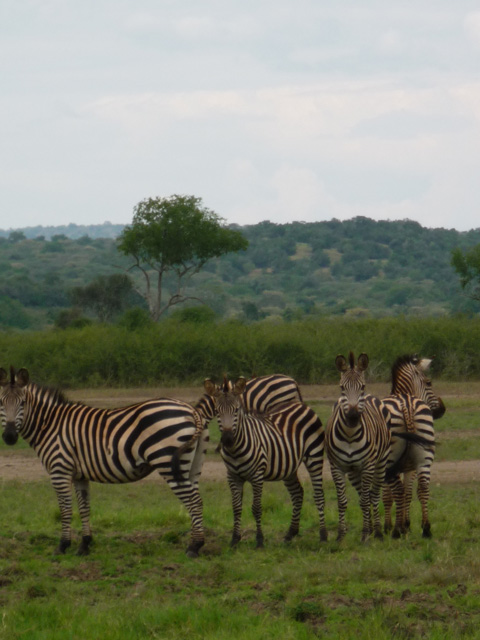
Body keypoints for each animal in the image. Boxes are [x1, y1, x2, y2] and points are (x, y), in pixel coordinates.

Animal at [0, 368, 209, 556]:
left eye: (23, 403)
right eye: (1, 402)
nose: (9, 437)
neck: (49, 425)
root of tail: (191, 409)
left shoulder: (60, 471)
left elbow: (65, 509)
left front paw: (63, 546)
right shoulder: (79, 475)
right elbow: (84, 508)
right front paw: (85, 545)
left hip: (168, 463)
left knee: (193, 501)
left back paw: (194, 547)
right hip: (193, 466)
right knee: (198, 500)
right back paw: (196, 543)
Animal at [202, 378, 326, 548]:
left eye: (236, 410)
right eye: (217, 412)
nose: (227, 440)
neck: (235, 450)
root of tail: (301, 405)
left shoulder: (257, 476)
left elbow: (256, 508)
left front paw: (259, 540)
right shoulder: (232, 477)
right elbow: (236, 507)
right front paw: (235, 539)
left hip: (315, 456)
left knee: (319, 495)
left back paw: (323, 536)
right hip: (288, 466)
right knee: (297, 493)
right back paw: (290, 533)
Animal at [324, 352, 392, 544]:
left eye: (362, 386)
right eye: (341, 387)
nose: (353, 417)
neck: (349, 435)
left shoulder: (368, 465)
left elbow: (365, 500)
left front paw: (365, 535)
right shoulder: (336, 467)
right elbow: (342, 501)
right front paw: (340, 535)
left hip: (380, 464)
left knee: (373, 495)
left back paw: (377, 531)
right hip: (354, 472)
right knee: (364, 494)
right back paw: (371, 529)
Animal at [382, 352, 446, 536]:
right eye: (429, 383)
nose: (442, 410)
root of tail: (406, 404)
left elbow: (388, 496)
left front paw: (390, 526)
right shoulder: (410, 466)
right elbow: (408, 493)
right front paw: (407, 524)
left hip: (391, 460)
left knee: (398, 490)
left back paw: (396, 531)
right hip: (423, 458)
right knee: (423, 488)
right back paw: (426, 528)